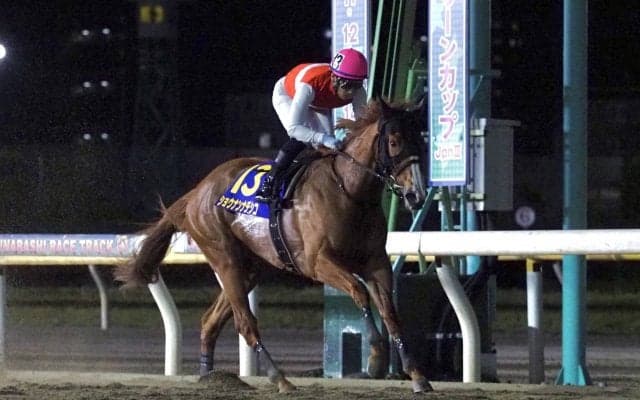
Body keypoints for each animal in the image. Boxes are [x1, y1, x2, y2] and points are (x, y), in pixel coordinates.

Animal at [114, 97, 432, 393]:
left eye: (421, 141)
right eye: (394, 142)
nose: (416, 194)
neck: (350, 192)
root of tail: (196, 192)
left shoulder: (376, 263)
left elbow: (390, 312)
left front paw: (417, 376)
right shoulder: (316, 262)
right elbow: (359, 292)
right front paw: (376, 357)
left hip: (251, 268)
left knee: (210, 321)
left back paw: (211, 378)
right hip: (224, 258)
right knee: (245, 323)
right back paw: (279, 378)